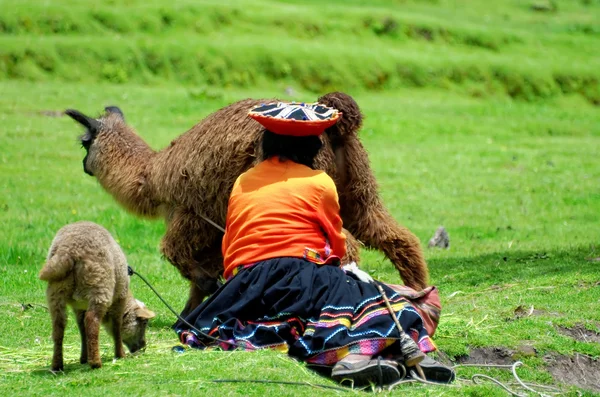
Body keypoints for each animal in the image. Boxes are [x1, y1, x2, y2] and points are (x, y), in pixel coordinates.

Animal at [39, 221, 156, 370]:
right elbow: (116, 327)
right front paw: (120, 354)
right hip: (100, 287)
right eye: (145, 323)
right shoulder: (119, 299)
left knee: (59, 327)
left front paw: (84, 357)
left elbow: (82, 329)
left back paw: (57, 365)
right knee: (92, 321)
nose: (143, 347)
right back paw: (96, 362)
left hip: (55, 293)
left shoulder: (79, 307)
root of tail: (68, 251)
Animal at [65, 90, 428, 316]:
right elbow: (204, 272)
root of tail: (338, 124)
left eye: (84, 143)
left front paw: (200, 300)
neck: (152, 175)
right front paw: (189, 313)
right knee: (398, 238)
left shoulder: (191, 214)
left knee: (349, 248)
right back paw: (418, 295)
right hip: (358, 193)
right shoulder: (211, 227)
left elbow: (175, 253)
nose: (82, 166)